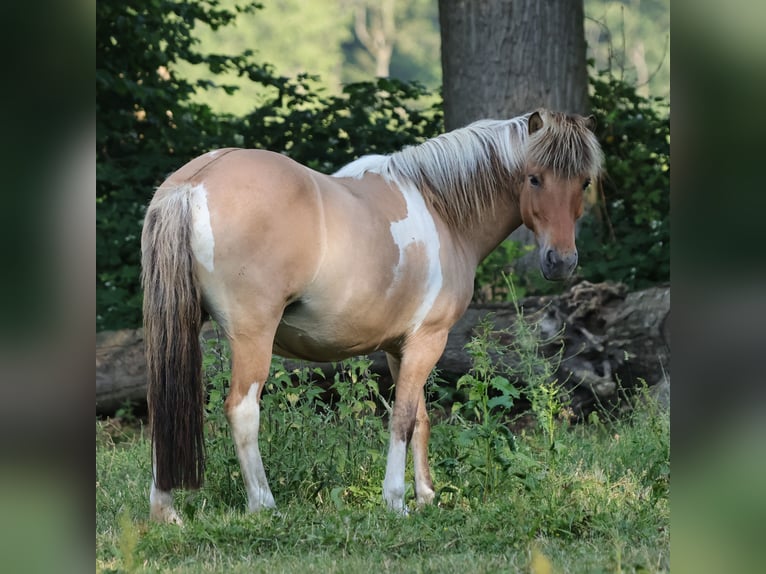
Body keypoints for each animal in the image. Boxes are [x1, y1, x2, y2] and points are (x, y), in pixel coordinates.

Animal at [141, 108, 603, 523]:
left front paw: (426, 495)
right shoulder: (427, 340)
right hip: (252, 337)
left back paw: (166, 511)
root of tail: (192, 184)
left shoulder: (402, 348)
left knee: (162, 406)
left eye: (584, 181)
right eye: (534, 177)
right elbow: (402, 419)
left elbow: (420, 419)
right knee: (242, 410)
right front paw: (396, 500)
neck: (441, 208)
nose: (561, 262)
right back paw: (264, 505)